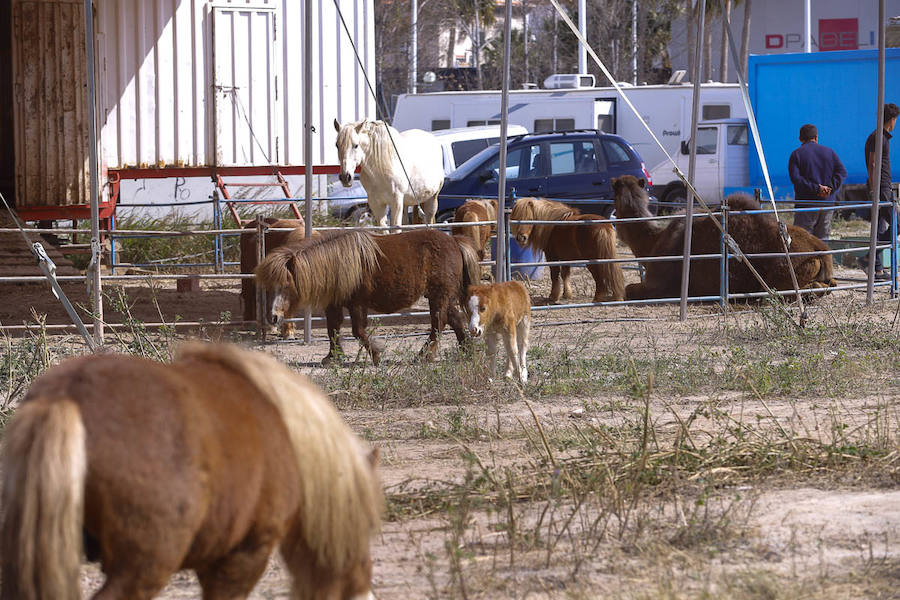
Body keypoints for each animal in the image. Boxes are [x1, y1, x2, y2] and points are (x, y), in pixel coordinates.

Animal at [255, 227, 478, 364]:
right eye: (268, 286)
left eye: (286, 284)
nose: (273, 317)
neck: (339, 263)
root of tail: (454, 241)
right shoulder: (335, 304)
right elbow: (333, 329)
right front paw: (332, 357)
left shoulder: (357, 304)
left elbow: (358, 331)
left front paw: (376, 355)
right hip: (441, 296)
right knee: (454, 319)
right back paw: (466, 351)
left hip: (438, 296)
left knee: (438, 323)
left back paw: (425, 355)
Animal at [612, 176, 836, 302]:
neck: (652, 243)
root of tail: (821, 251)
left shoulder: (663, 287)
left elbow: (629, 289)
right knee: (829, 284)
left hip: (780, 278)